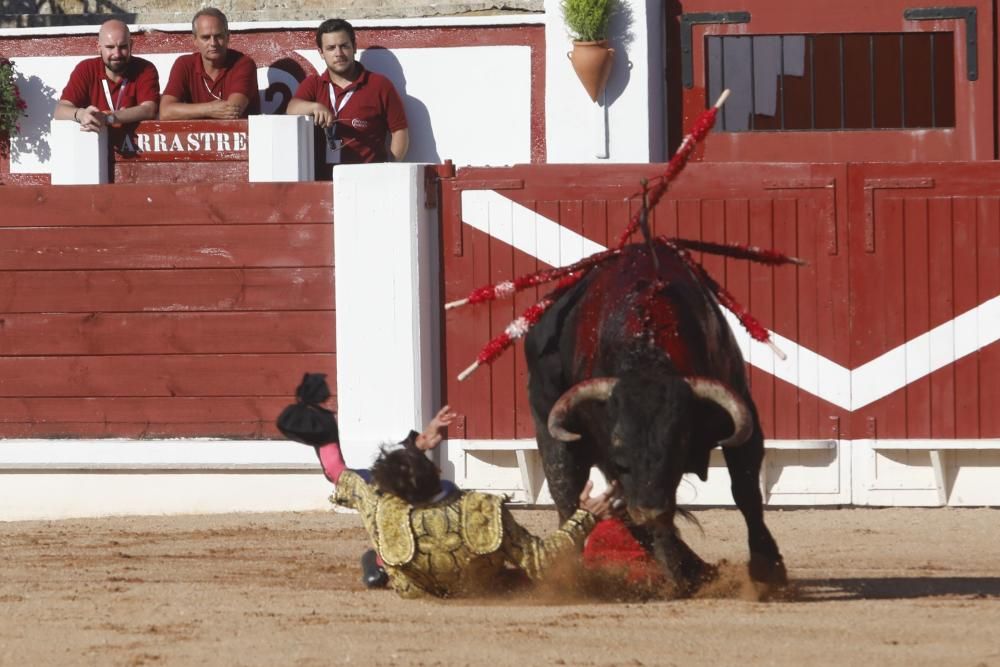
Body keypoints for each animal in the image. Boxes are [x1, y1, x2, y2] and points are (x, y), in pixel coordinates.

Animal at [524, 243, 788, 592]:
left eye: (677, 452)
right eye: (621, 458)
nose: (650, 510)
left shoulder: (745, 422)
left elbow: (746, 492)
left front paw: (767, 571)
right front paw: (679, 571)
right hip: (551, 432)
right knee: (567, 493)